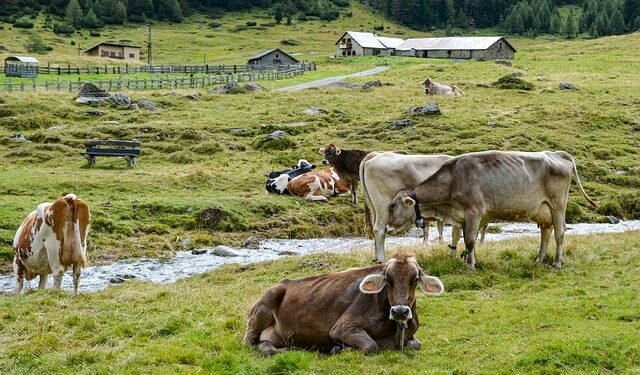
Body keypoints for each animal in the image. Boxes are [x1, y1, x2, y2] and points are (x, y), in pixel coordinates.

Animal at [242, 251, 442, 356]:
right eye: (388, 279)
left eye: (415, 279)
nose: (400, 311)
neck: (395, 333)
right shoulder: (343, 328)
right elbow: (371, 346)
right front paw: (338, 348)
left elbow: (416, 344)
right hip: (262, 308)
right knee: (249, 342)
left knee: (265, 343)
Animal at [388, 151, 596, 272]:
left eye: (393, 206)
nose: (388, 227)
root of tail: (557, 154)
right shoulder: (464, 217)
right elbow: (467, 240)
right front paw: (471, 261)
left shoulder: (474, 212)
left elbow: (470, 240)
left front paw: (470, 266)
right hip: (542, 209)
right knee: (546, 232)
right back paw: (539, 259)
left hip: (558, 204)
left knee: (559, 233)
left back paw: (557, 262)